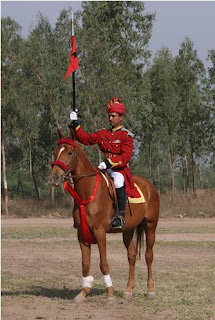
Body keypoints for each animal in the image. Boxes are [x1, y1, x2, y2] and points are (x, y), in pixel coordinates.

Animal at [49, 131, 159, 304]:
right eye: (55, 152)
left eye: (69, 152)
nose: (54, 178)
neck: (87, 192)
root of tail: (150, 186)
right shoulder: (81, 234)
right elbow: (85, 264)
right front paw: (83, 293)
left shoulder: (99, 232)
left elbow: (103, 264)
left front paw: (110, 294)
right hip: (128, 230)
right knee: (132, 256)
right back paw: (128, 290)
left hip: (150, 226)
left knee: (149, 256)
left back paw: (150, 290)